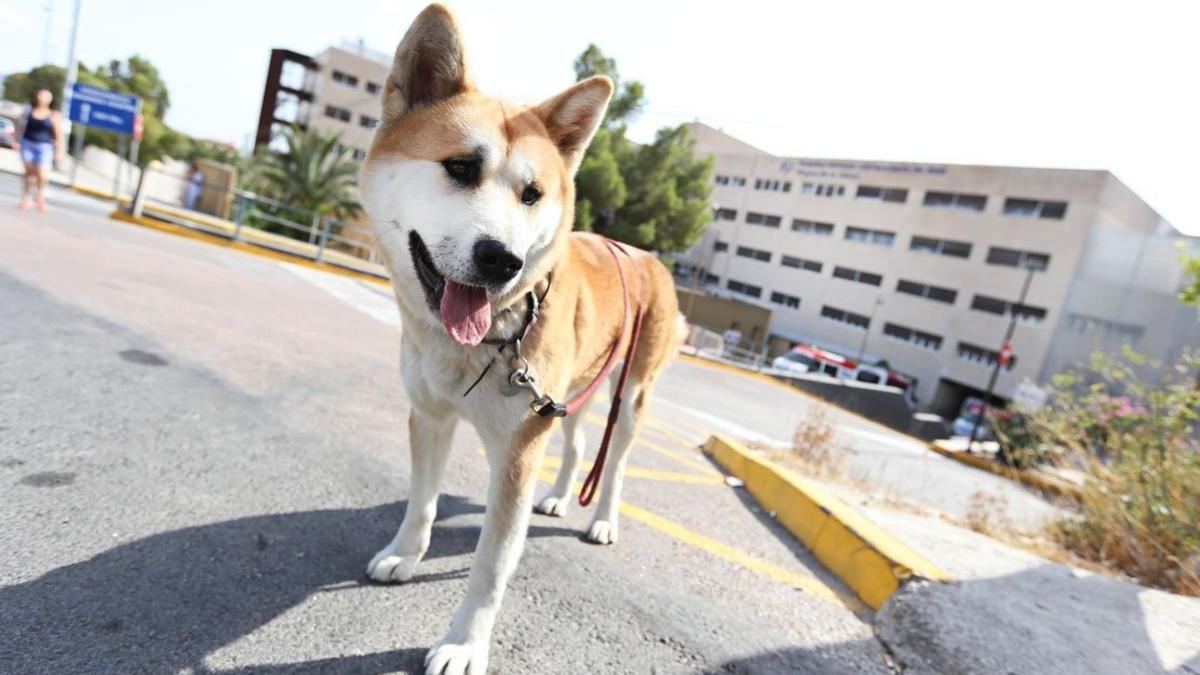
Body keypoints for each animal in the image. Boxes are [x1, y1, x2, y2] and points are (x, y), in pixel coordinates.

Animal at [360, 5, 686, 672]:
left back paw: (601, 520)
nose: (503, 259)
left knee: (614, 462)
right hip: (570, 395)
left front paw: (464, 644)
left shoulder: (516, 453)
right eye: (460, 167)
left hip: (631, 397)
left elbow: (492, 564)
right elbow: (422, 501)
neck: (488, 340)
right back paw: (560, 497)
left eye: (532, 195)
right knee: (579, 445)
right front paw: (405, 554)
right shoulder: (431, 416)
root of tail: (647, 254)